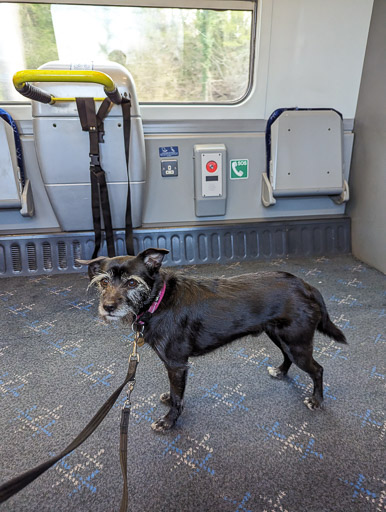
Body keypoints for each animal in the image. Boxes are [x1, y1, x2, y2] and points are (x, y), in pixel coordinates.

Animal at [78, 250, 346, 430]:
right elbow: (175, 392)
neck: (159, 301)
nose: (107, 307)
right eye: (104, 281)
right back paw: (280, 371)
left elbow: (178, 397)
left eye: (132, 282)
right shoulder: (174, 367)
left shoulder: (177, 364)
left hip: (297, 343)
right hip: (280, 336)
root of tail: (307, 286)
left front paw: (169, 422)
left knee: (318, 369)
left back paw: (316, 400)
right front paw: (169, 401)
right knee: (287, 357)